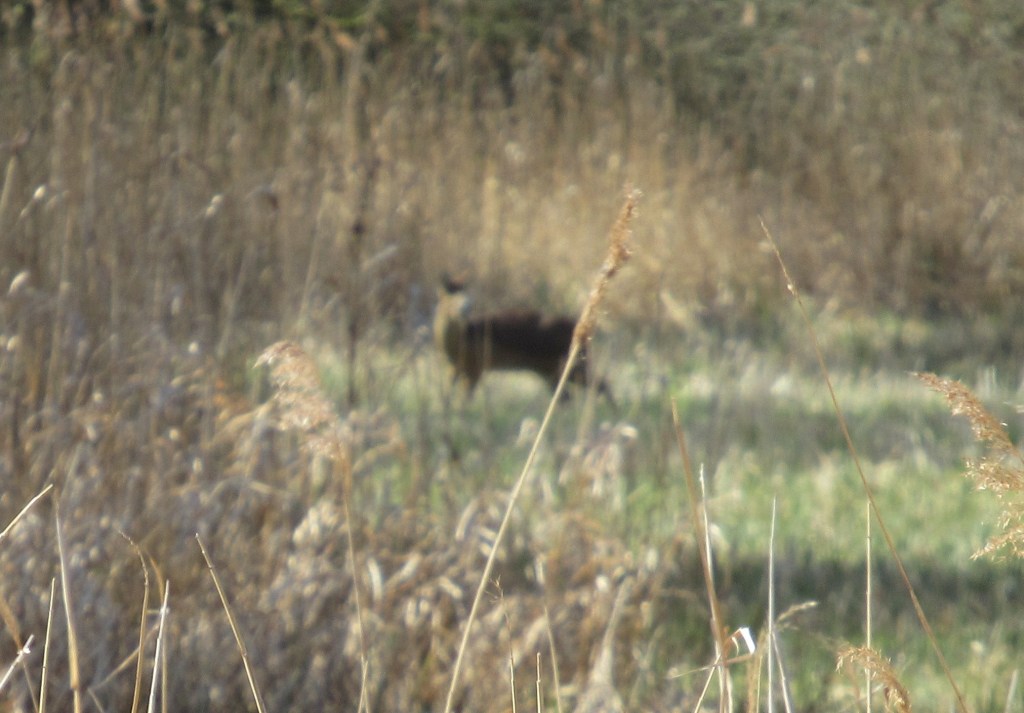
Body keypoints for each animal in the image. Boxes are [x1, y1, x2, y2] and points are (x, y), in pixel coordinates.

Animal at [433, 274, 611, 400]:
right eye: (449, 298)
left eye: (469, 298)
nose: (465, 308)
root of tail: (576, 325)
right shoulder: (454, 368)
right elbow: (448, 397)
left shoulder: (476, 366)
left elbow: (463, 400)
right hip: (550, 370)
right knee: (568, 396)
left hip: (569, 362)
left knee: (601, 383)